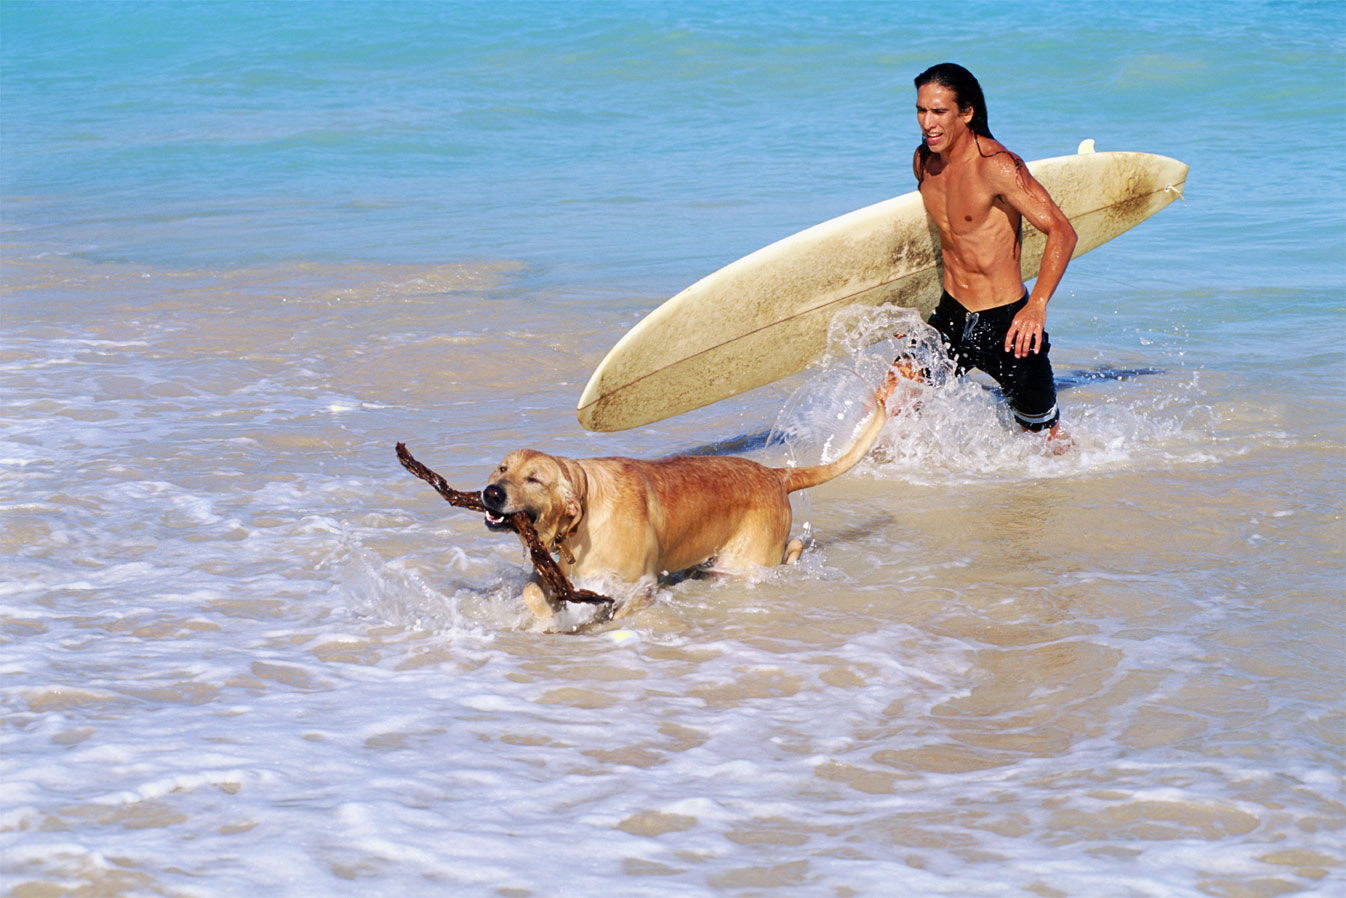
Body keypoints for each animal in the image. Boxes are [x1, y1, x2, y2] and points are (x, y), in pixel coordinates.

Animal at [481, 395, 882, 630]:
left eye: (534, 479)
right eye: (502, 469)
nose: (490, 493)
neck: (583, 516)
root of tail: (775, 474)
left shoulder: (639, 584)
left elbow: (621, 611)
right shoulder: (555, 577)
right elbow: (532, 593)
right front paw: (549, 622)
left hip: (741, 563)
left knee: (789, 550)